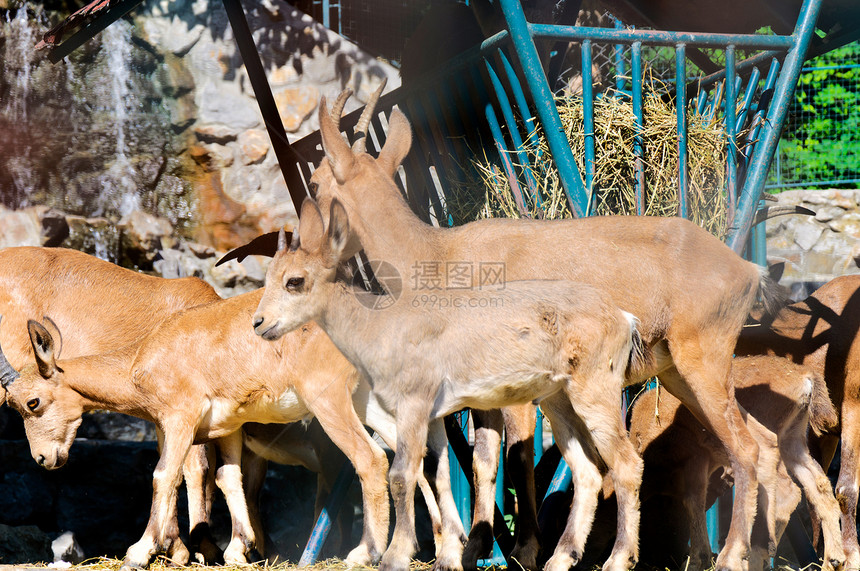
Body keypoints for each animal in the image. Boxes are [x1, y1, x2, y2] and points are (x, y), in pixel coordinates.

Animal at [0, 290, 406, 571]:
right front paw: (237, 550)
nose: (44, 458)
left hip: (328, 398)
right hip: (366, 398)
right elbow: (227, 477)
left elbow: (163, 475)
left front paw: (139, 552)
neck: (139, 360)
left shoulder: (179, 416)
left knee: (370, 458)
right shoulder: (225, 426)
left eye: (32, 402)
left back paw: (364, 553)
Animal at [254, 199, 644, 571]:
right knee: (588, 471)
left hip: (594, 391)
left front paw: (395, 557)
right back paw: (560, 559)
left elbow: (402, 474)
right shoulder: (434, 417)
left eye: (294, 280)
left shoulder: (413, 404)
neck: (379, 327)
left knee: (626, 464)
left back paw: (618, 559)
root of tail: (623, 318)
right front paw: (448, 558)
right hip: (558, 399)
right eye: (269, 276)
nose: (259, 323)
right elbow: (437, 474)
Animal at [628, 356, 844, 571]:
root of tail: (803, 374)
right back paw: (832, 560)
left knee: (785, 490)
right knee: (818, 486)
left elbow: (693, 502)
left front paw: (698, 560)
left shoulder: (696, 459)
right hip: (793, 442)